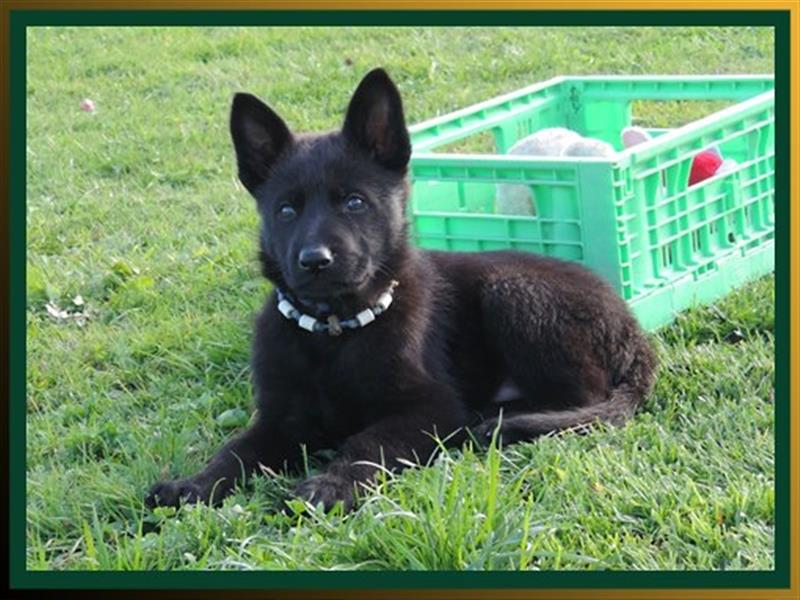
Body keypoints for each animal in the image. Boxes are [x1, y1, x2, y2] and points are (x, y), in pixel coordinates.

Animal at [145, 69, 656, 510]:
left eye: (355, 202)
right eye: (286, 210)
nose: (315, 261)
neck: (334, 331)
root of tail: (634, 332)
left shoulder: (431, 407)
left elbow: (368, 440)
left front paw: (331, 484)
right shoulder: (281, 418)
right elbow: (236, 451)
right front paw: (192, 485)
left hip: (512, 292)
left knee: (584, 396)